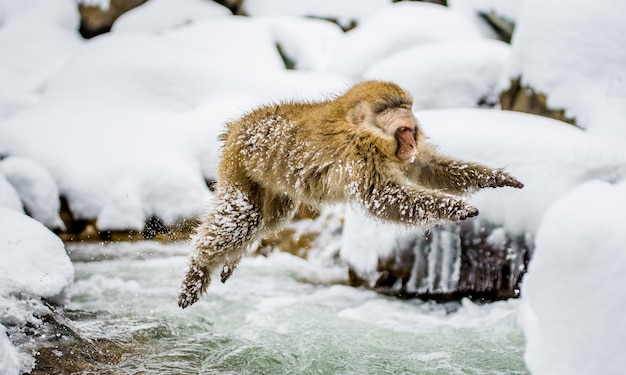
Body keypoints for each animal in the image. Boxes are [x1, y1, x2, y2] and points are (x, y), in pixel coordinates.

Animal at [177, 79, 520, 308]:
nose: (411, 143)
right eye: (403, 130)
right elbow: (383, 197)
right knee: (241, 218)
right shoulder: (359, 156)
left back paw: (232, 261)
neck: (364, 132)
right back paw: (198, 270)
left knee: (270, 218)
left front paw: (495, 177)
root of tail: (238, 125)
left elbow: (425, 167)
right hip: (239, 168)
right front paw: (457, 208)